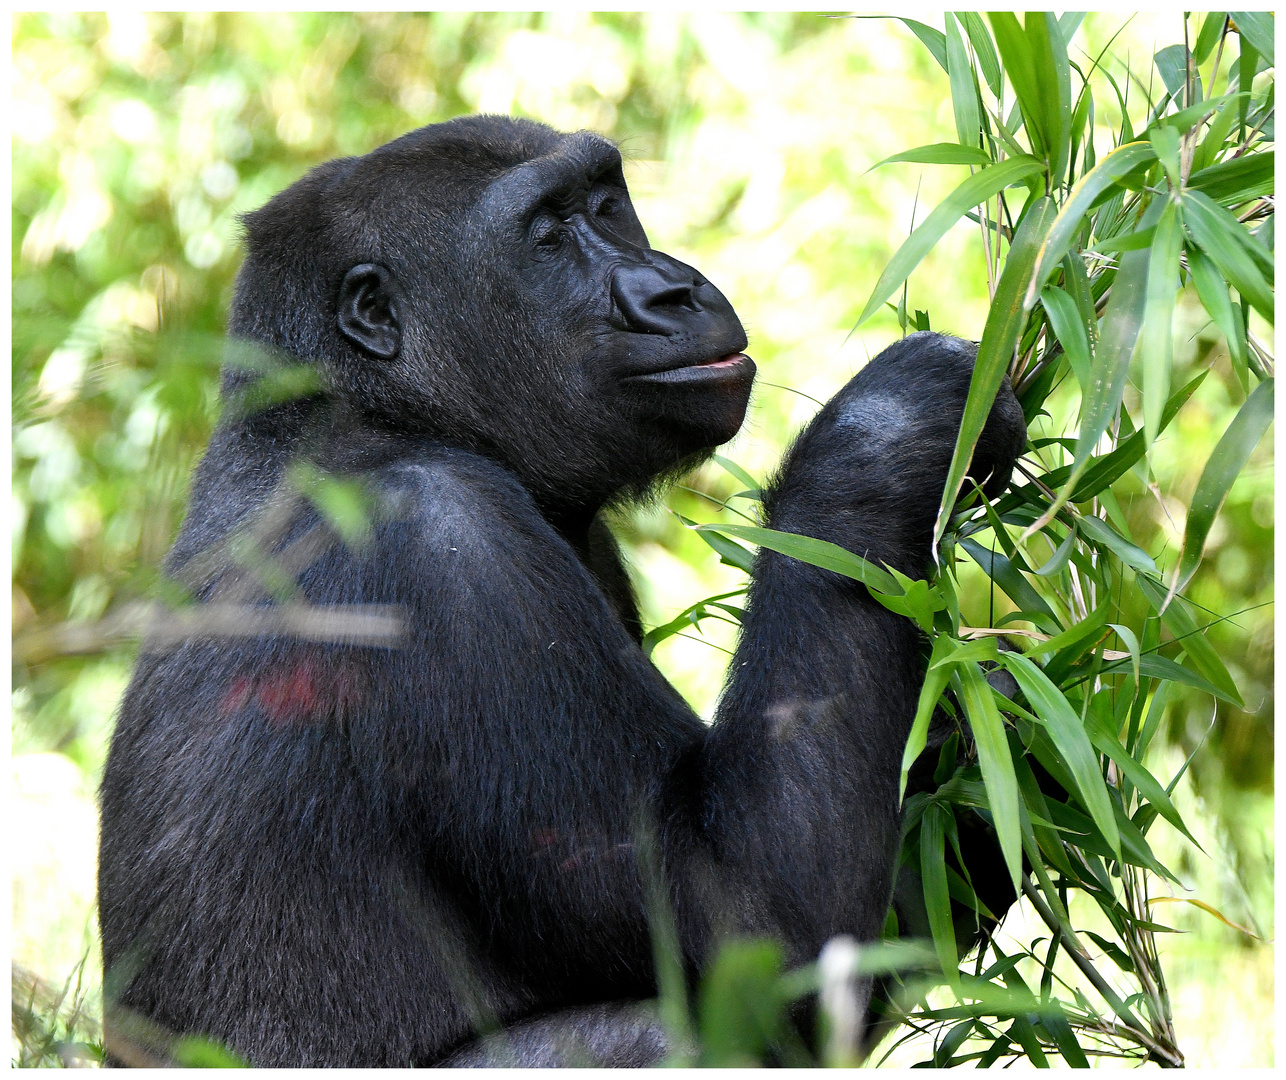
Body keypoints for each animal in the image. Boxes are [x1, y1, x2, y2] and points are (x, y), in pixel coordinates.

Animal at [97, 113, 1023, 1069]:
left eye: (608, 204)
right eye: (545, 234)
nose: (671, 292)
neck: (368, 406)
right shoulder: (445, 547)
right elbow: (755, 927)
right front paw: (895, 433)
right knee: (668, 1032)